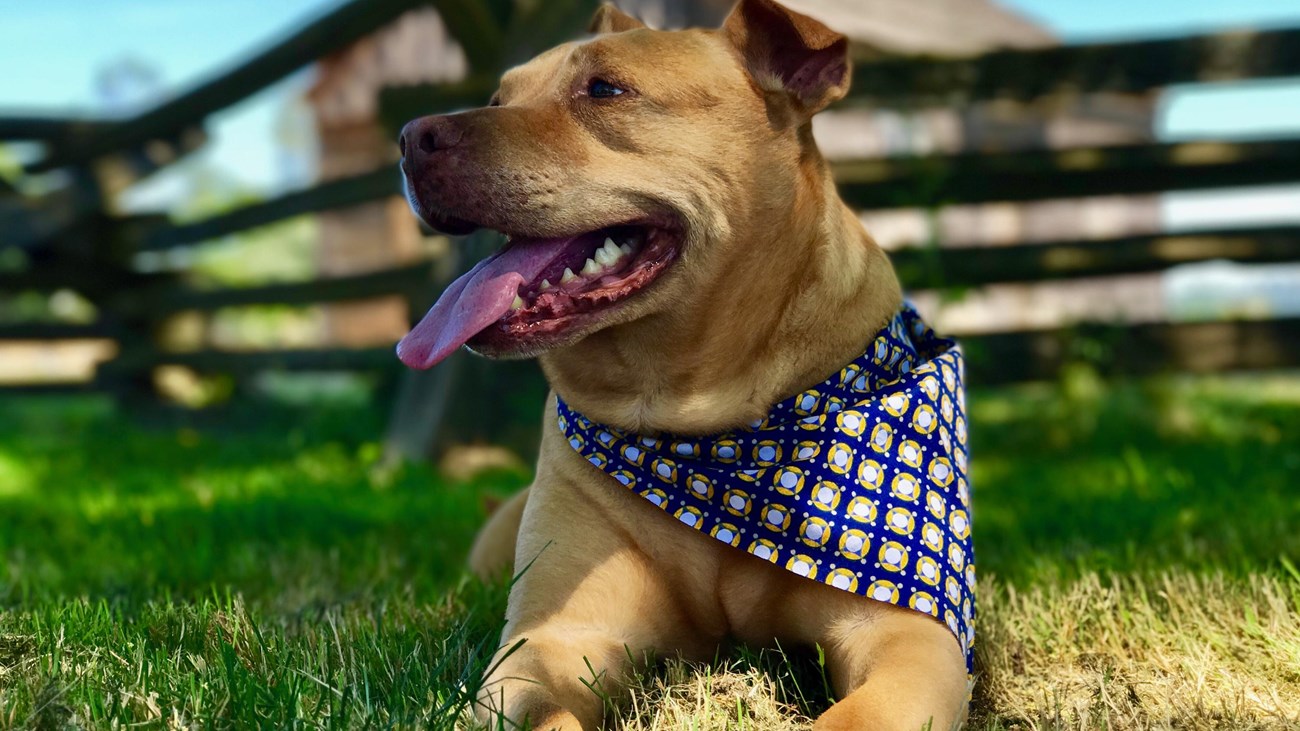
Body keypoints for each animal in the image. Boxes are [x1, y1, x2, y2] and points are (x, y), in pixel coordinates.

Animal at [397, 2, 977, 723]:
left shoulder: (905, 635)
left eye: (605, 89)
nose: (410, 136)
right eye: (500, 98)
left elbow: (859, 714)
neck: (703, 426)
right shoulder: (556, 636)